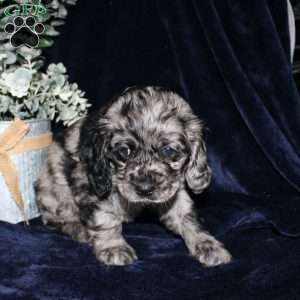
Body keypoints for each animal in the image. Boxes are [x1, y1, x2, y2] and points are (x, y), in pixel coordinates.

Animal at [35, 85, 232, 266]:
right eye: (124, 151)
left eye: (168, 151)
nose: (144, 189)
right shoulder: (92, 184)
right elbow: (105, 217)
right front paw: (113, 247)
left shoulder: (174, 189)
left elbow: (186, 216)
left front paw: (207, 244)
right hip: (54, 190)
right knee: (53, 218)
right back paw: (78, 229)